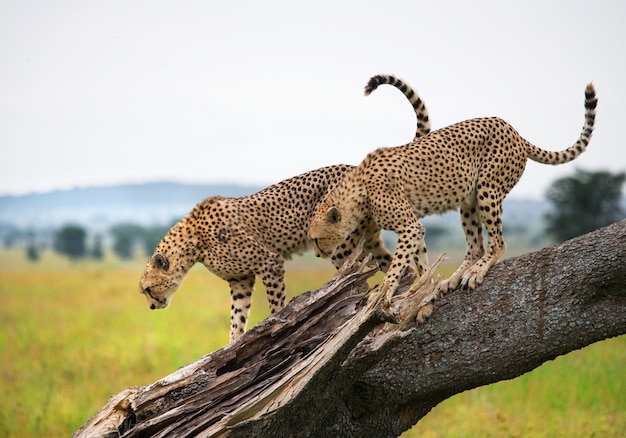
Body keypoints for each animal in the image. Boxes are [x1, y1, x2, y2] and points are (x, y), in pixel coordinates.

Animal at [136, 75, 428, 342]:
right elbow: (236, 317)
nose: (151, 306)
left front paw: (277, 328)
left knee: (359, 277)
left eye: (148, 289)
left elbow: (275, 304)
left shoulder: (269, 261)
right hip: (368, 238)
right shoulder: (240, 280)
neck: (194, 243)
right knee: (397, 266)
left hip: (339, 243)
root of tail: (356, 168)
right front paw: (232, 344)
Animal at [308, 78, 596, 306]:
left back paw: (476, 272)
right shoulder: (414, 227)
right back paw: (456, 276)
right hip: (468, 201)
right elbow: (420, 260)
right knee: (476, 246)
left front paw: (385, 295)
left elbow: (397, 265)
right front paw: (420, 290)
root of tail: (512, 129)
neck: (357, 191)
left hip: (488, 189)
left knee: (498, 243)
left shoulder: (409, 227)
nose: (318, 255)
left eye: (316, 239)